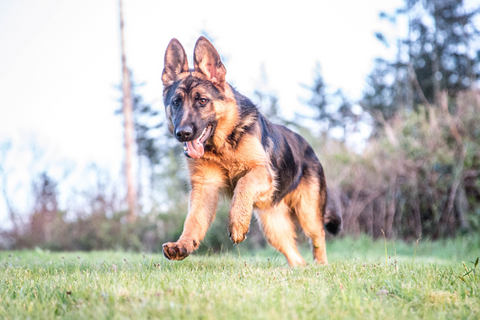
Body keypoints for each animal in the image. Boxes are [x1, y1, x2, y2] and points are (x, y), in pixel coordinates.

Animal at [161, 36, 342, 266]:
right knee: (295, 256)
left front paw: (237, 224)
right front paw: (183, 244)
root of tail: (309, 148)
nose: (182, 133)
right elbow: (193, 220)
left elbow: (243, 184)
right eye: (176, 102)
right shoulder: (204, 187)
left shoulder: (261, 172)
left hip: (307, 214)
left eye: (202, 101)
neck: (222, 146)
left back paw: (321, 266)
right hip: (273, 227)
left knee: (318, 237)